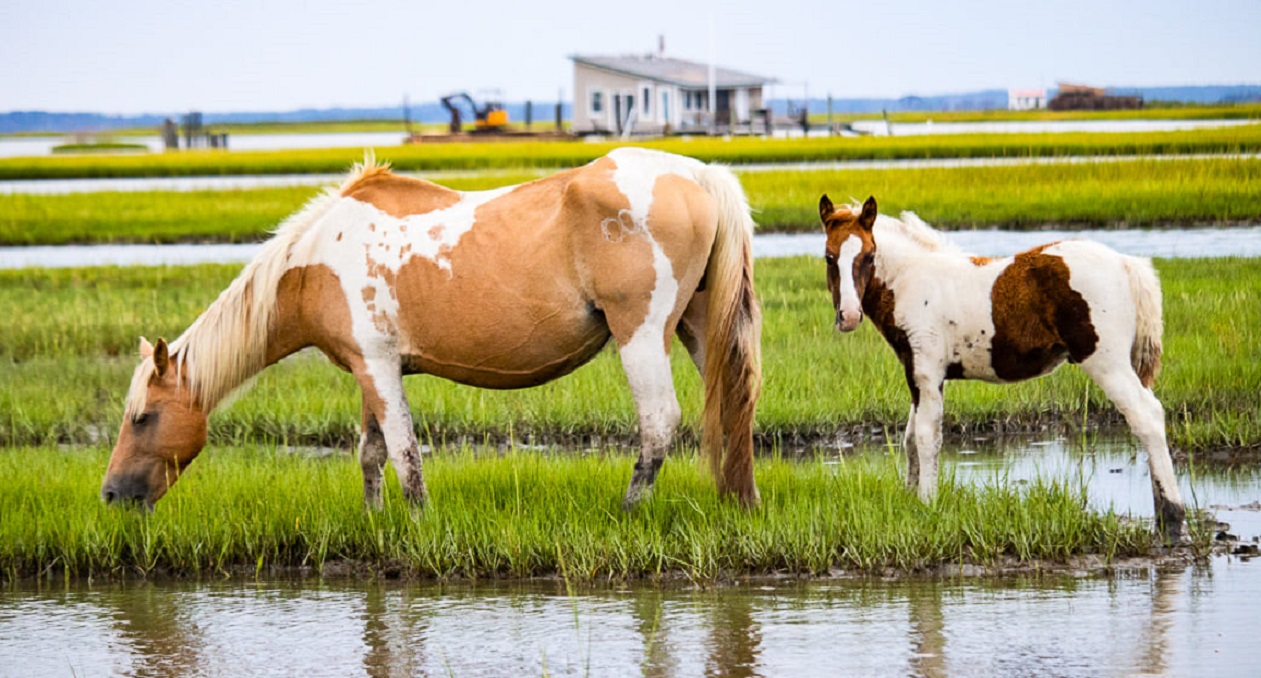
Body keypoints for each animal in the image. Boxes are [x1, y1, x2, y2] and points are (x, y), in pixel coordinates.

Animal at [100, 147, 756, 506]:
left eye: (143, 417)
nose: (109, 494)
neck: (315, 261)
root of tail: (699, 175)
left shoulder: (379, 367)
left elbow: (405, 453)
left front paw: (417, 527)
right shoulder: (367, 370)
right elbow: (371, 454)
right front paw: (375, 523)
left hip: (641, 334)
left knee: (658, 424)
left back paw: (630, 508)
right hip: (701, 327)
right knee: (734, 404)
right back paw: (739, 500)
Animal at [822, 195, 1185, 539]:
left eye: (869, 255)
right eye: (828, 256)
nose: (849, 316)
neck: (909, 280)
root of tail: (1126, 263)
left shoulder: (926, 372)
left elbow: (926, 438)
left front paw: (926, 504)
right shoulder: (917, 373)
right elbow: (910, 439)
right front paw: (912, 498)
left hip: (1105, 361)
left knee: (1147, 416)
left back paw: (1173, 516)